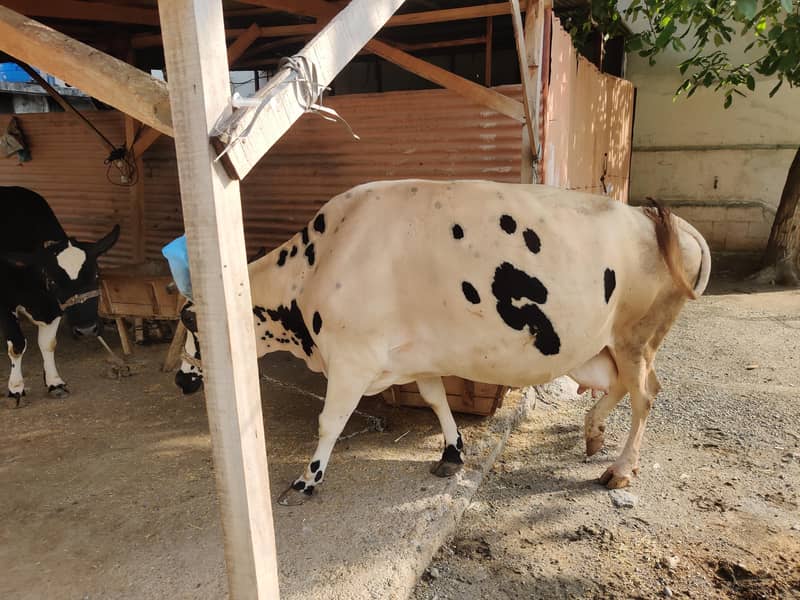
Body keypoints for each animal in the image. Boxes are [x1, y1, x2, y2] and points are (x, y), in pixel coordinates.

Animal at [0, 186, 120, 406]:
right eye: (54, 281)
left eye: (96, 275)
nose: (86, 329)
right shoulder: (5, 304)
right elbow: (17, 345)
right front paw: (15, 389)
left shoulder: (53, 307)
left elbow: (48, 344)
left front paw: (55, 383)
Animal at [173, 180, 710, 505]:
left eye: (192, 324)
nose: (180, 379)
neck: (313, 266)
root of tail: (661, 218)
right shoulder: (416, 356)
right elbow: (435, 400)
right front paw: (452, 452)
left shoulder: (350, 359)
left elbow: (328, 421)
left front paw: (308, 478)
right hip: (604, 344)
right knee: (621, 386)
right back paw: (594, 433)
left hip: (636, 335)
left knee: (645, 395)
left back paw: (621, 468)